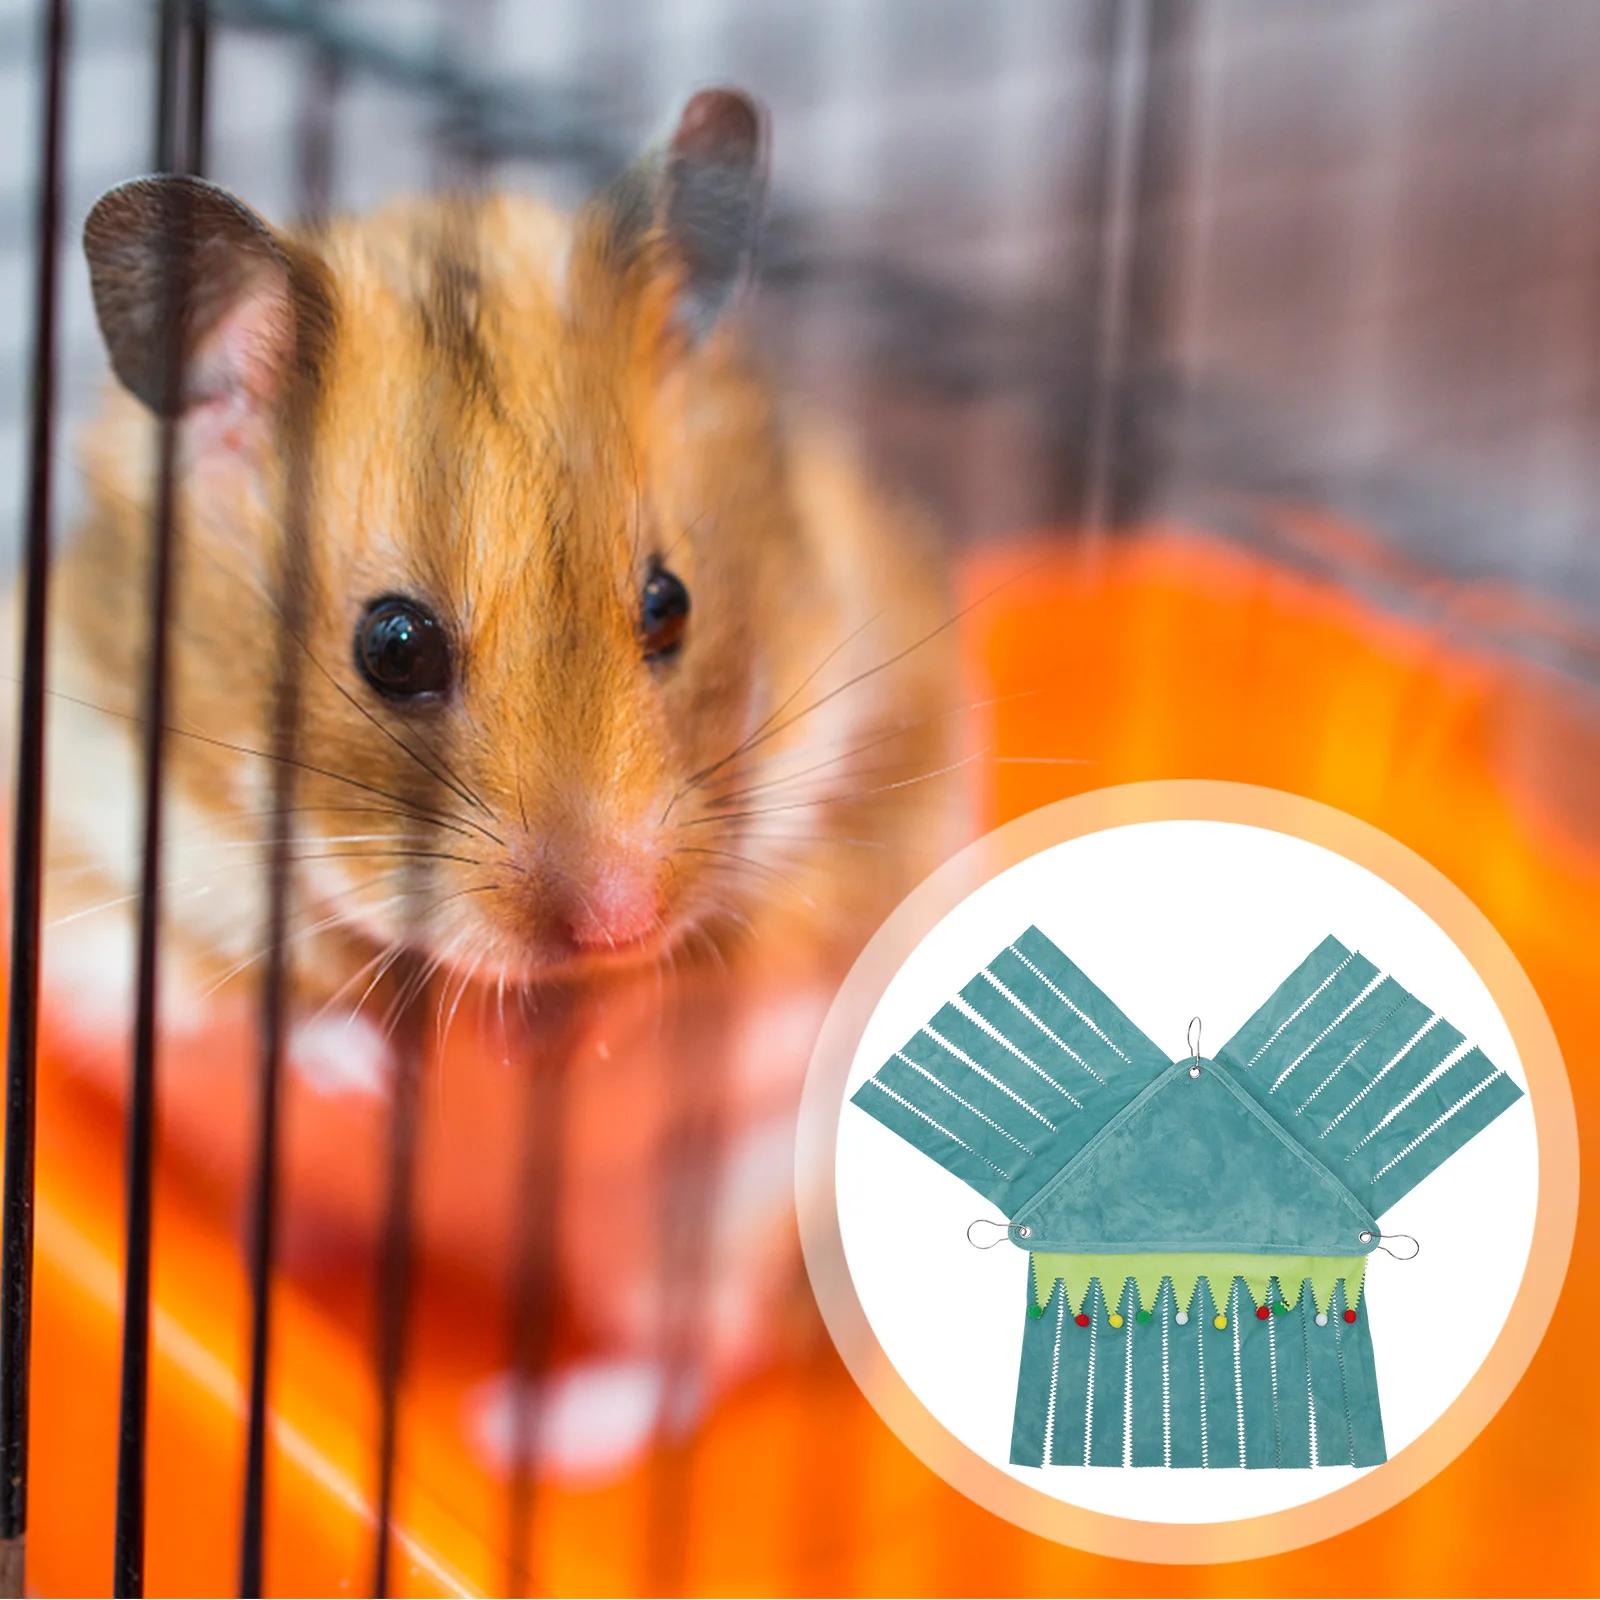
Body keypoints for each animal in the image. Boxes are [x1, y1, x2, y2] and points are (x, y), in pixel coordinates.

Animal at [17, 90, 969, 1434]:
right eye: (393, 645)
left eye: (670, 602)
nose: (620, 921)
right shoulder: (102, 855)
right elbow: (258, 1003)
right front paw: (397, 1073)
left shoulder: (832, 833)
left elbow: (703, 978)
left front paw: (544, 1044)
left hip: (711, 1226)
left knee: (695, 1361)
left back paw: (524, 1425)